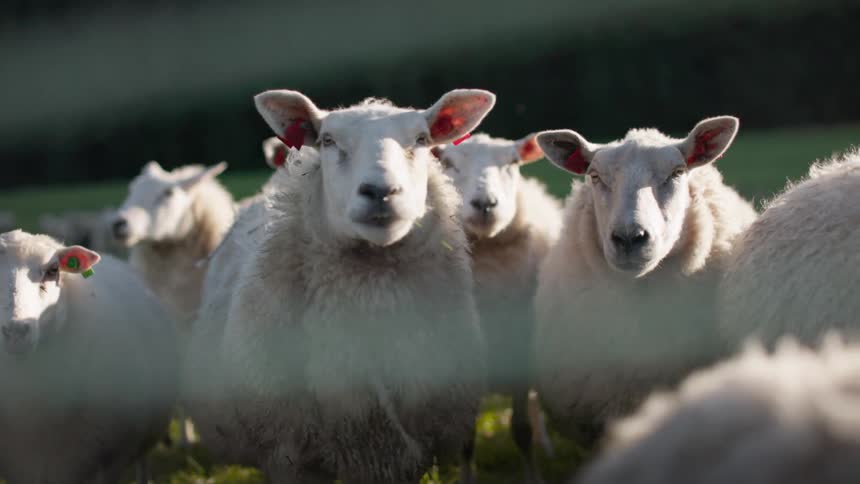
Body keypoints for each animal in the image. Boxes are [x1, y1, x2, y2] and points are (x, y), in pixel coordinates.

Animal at [434, 133, 562, 480]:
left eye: (513, 162)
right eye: (449, 163)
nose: (485, 204)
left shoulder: (521, 351)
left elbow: (521, 429)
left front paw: (534, 476)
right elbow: (467, 440)